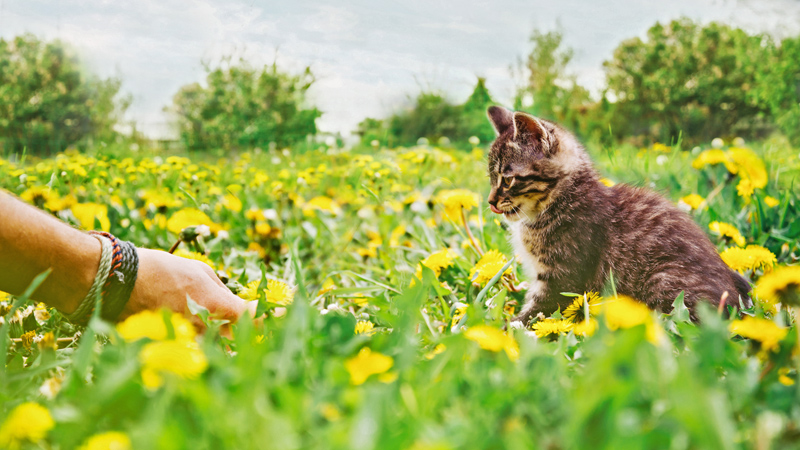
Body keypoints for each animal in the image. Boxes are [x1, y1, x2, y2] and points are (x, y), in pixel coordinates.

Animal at [484, 105, 752, 324]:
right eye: (491, 178)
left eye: (507, 180)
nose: (491, 202)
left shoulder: (563, 278)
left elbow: (537, 312)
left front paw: (507, 328)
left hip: (663, 282)